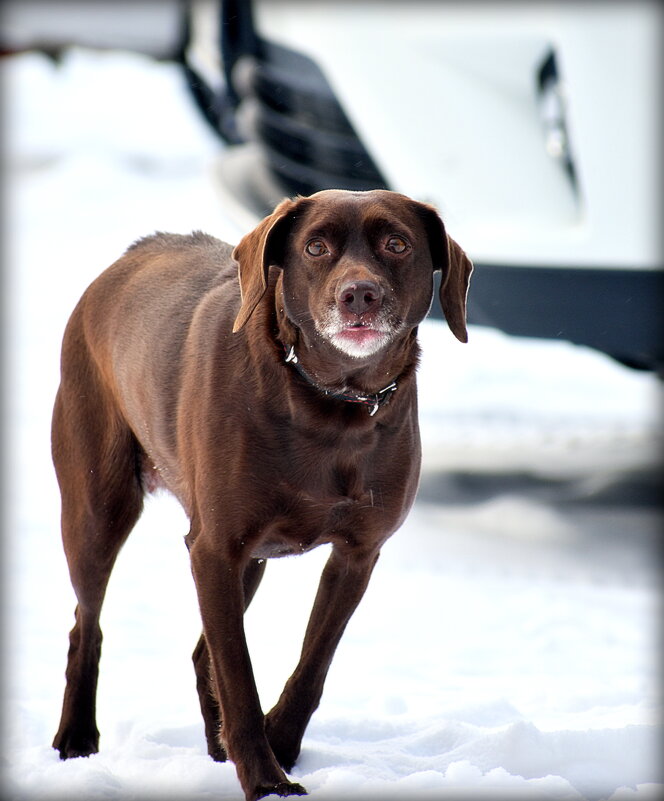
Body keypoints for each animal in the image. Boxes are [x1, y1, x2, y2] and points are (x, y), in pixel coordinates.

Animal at [52, 189, 472, 800]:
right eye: (315, 247)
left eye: (397, 244)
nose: (358, 294)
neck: (333, 408)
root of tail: (131, 255)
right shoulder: (214, 550)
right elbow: (238, 678)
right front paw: (267, 781)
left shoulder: (356, 555)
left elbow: (312, 667)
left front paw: (282, 745)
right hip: (97, 511)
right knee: (87, 628)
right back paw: (77, 737)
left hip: (248, 560)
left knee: (199, 654)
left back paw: (215, 747)